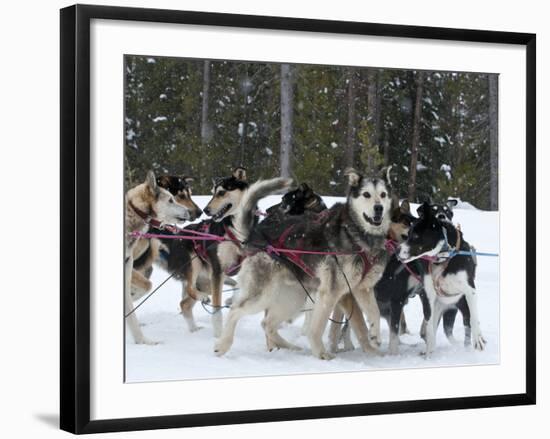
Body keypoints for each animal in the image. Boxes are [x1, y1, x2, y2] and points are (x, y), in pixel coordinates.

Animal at [215, 167, 392, 360]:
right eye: (366, 194)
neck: (357, 234)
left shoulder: (362, 289)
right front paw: (321, 353)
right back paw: (222, 345)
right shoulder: (332, 292)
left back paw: (290, 347)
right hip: (264, 295)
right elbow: (319, 327)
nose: (378, 208)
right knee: (236, 310)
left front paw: (374, 342)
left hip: (294, 298)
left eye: (383, 194)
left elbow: (372, 314)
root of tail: (254, 234)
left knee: (267, 324)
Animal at [396, 201, 488, 356]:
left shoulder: (470, 291)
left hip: (462, 307)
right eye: (407, 234)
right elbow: (429, 328)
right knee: (435, 328)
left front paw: (478, 339)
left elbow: (475, 318)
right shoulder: (428, 295)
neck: (443, 257)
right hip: (440, 309)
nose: (397, 250)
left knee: (466, 326)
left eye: (415, 235)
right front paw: (429, 352)